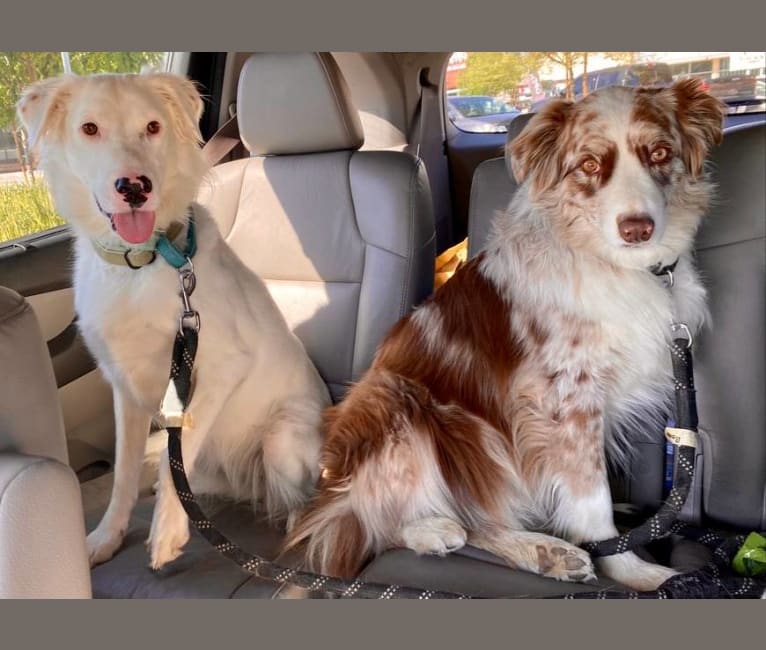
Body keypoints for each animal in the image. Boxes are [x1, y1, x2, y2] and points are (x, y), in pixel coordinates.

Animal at [18, 72, 330, 568]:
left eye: (152, 126)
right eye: (89, 129)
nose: (134, 187)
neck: (138, 265)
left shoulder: (223, 367)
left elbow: (176, 452)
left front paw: (167, 530)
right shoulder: (124, 388)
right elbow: (126, 472)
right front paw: (106, 536)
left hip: (281, 439)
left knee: (302, 498)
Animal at [288, 78, 728, 588]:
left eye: (659, 153)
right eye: (589, 164)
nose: (637, 228)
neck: (615, 263)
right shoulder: (564, 400)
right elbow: (591, 496)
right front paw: (634, 571)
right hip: (405, 404)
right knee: (375, 523)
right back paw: (468, 536)